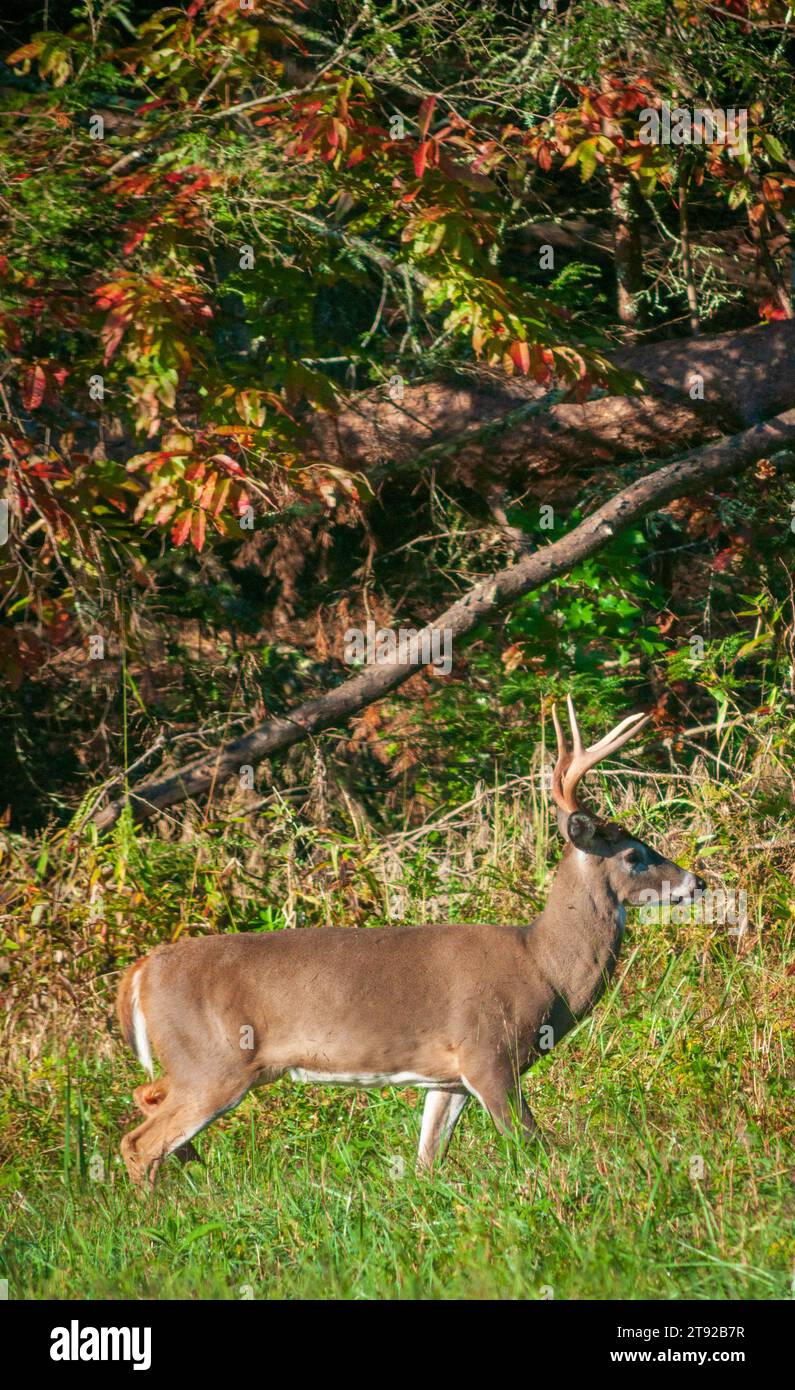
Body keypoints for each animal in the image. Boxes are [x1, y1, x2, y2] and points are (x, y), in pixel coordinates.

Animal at [116, 698, 704, 1188]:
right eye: (634, 854)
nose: (695, 881)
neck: (544, 966)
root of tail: (140, 971)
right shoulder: (488, 1053)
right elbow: (532, 1143)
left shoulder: (448, 1078)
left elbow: (429, 1160)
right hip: (212, 1062)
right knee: (139, 1144)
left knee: (147, 1106)